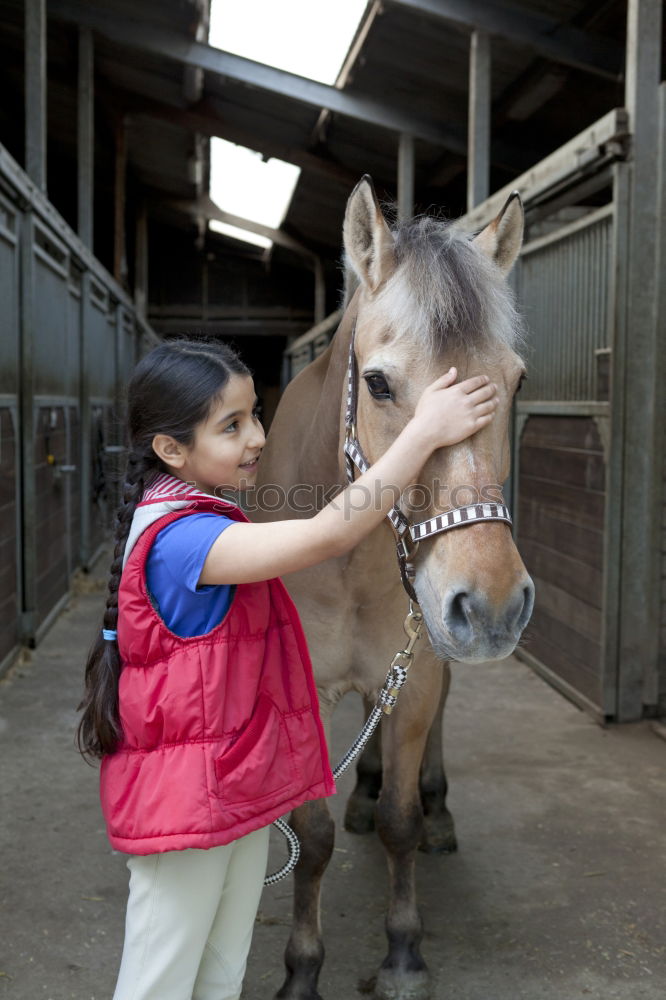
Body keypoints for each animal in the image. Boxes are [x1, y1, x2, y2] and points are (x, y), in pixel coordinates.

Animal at [254, 178, 536, 1000]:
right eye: (378, 383)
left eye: (516, 381)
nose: (493, 603)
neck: (349, 565)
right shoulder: (306, 693)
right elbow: (311, 837)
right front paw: (302, 969)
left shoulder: (418, 674)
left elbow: (400, 824)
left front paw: (404, 954)